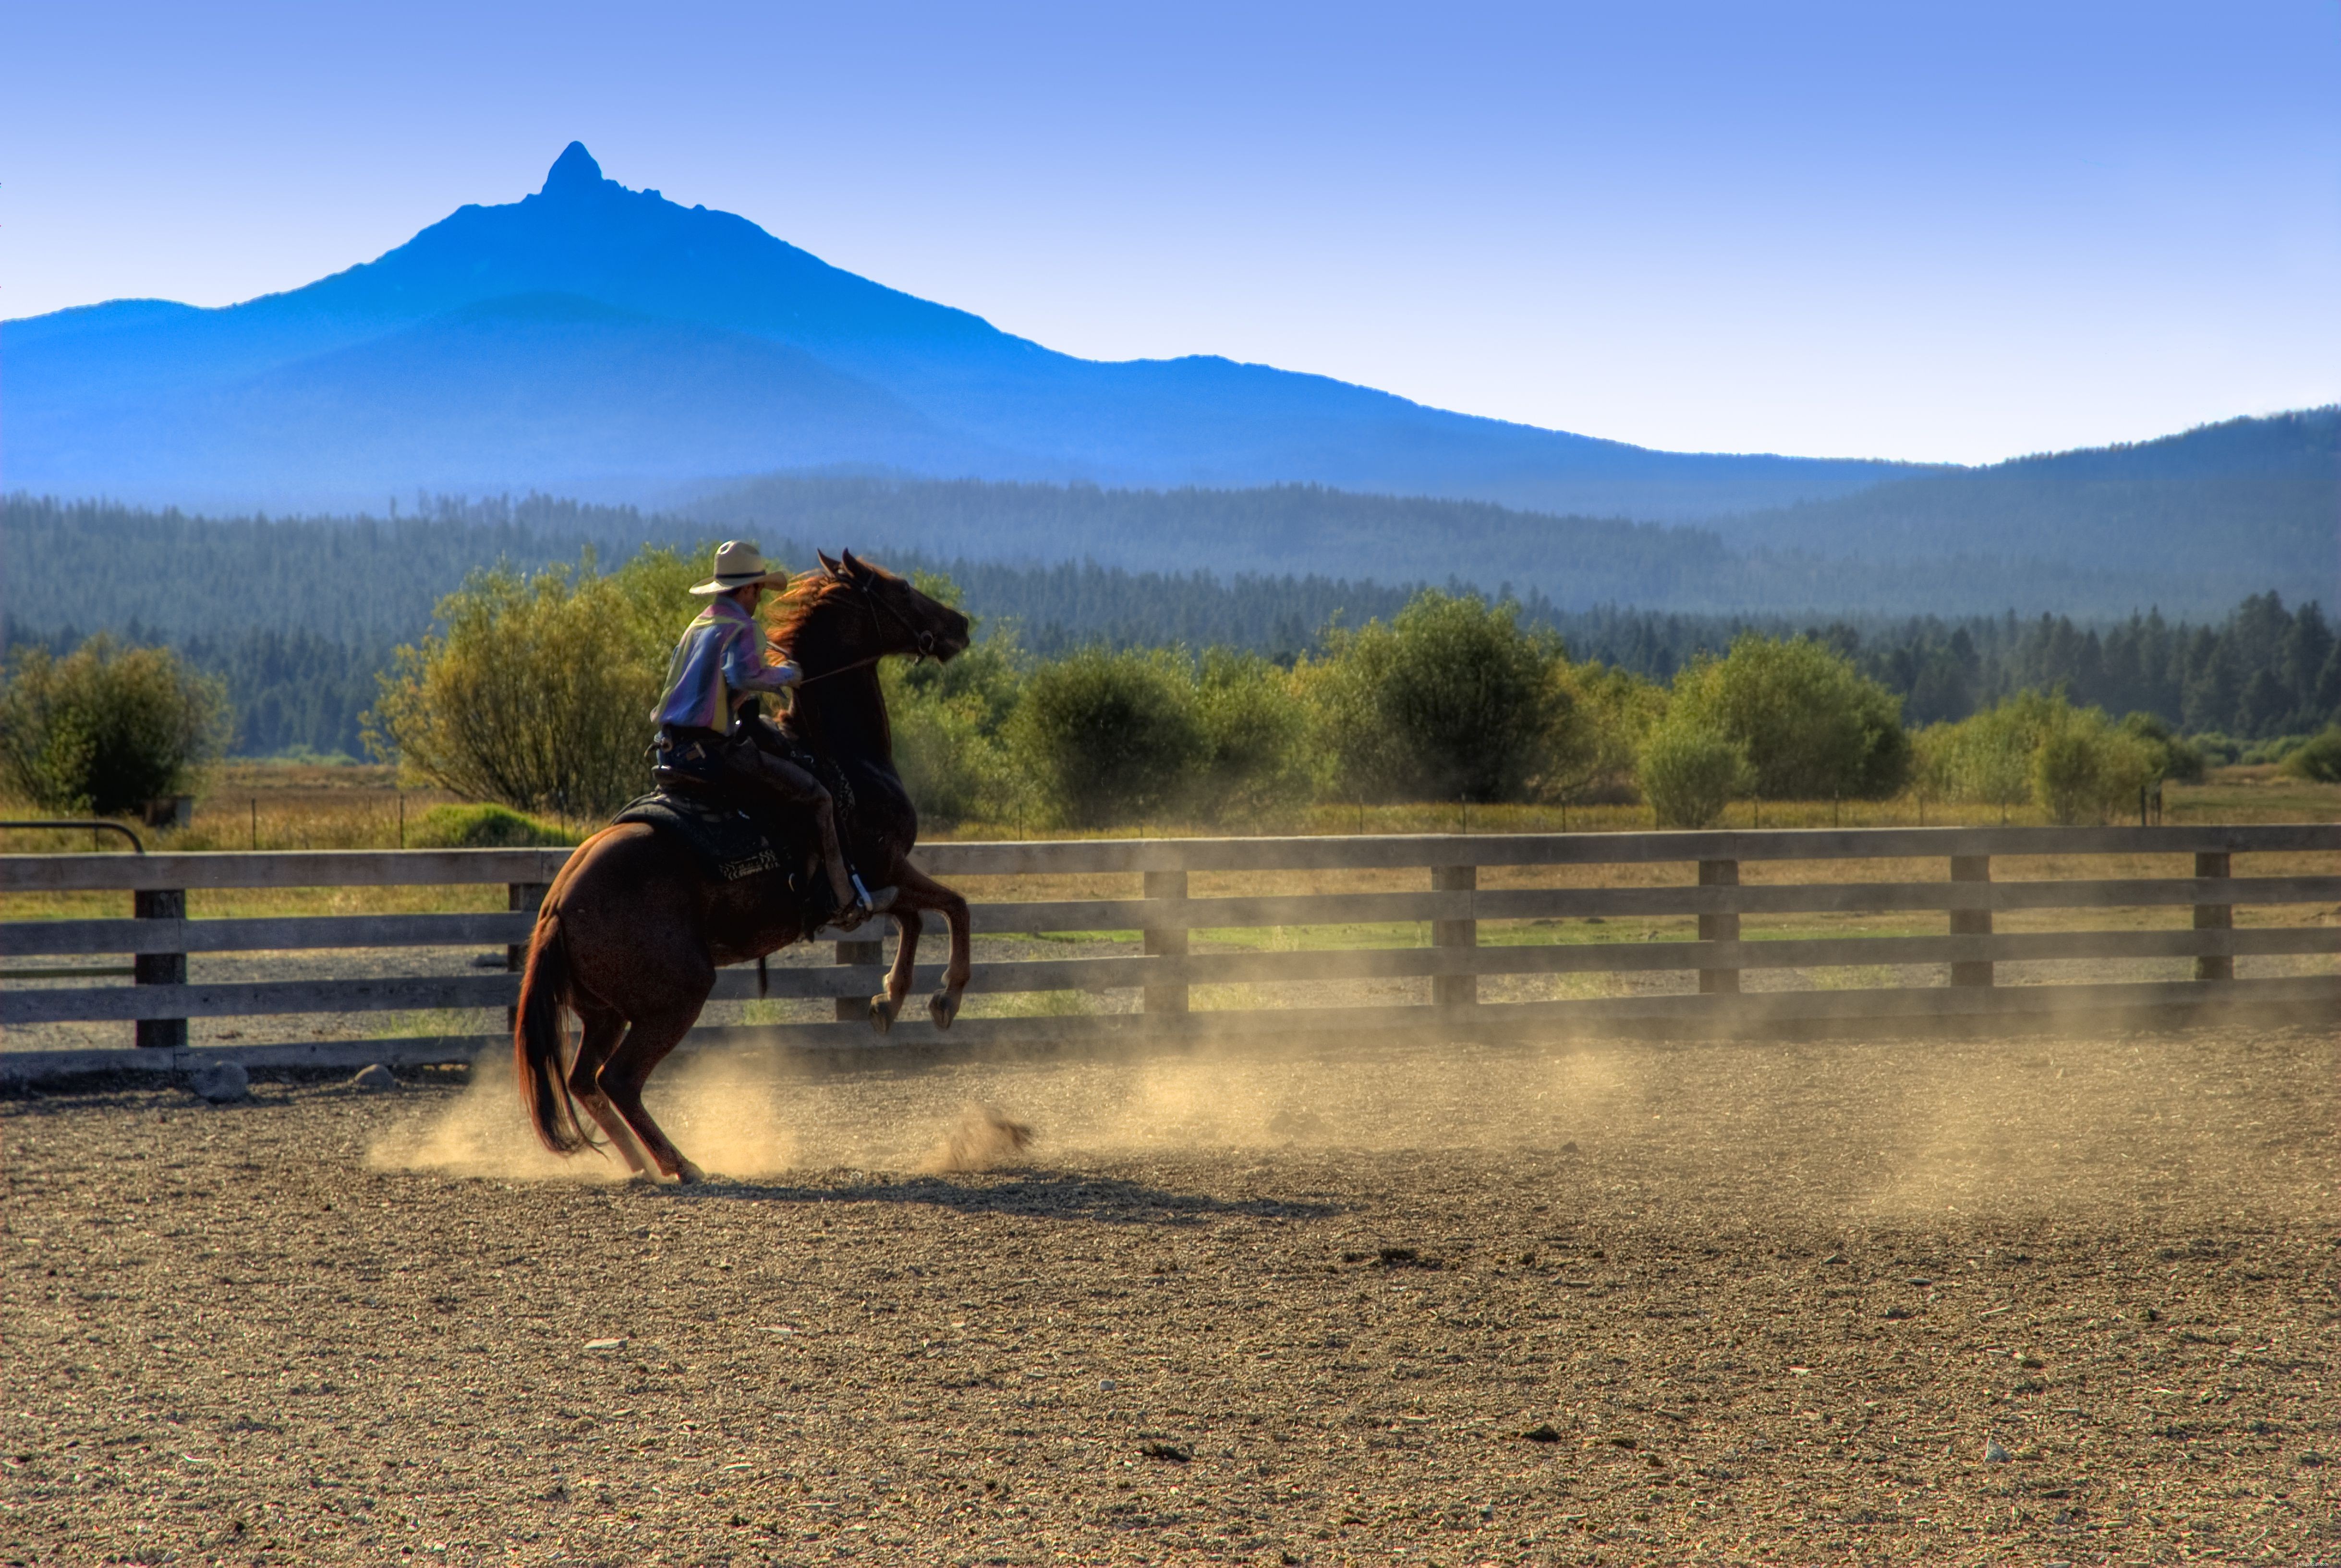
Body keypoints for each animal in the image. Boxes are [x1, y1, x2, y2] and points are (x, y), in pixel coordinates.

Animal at [511, 549, 975, 1183]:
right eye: (901, 588)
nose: (960, 625)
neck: (840, 754)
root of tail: (556, 907)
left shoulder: (881, 880)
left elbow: (915, 919)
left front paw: (888, 999)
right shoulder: (884, 866)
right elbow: (953, 906)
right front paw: (942, 999)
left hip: (603, 1011)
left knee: (586, 1082)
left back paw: (640, 1165)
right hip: (675, 996)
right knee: (619, 1080)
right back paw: (681, 1164)